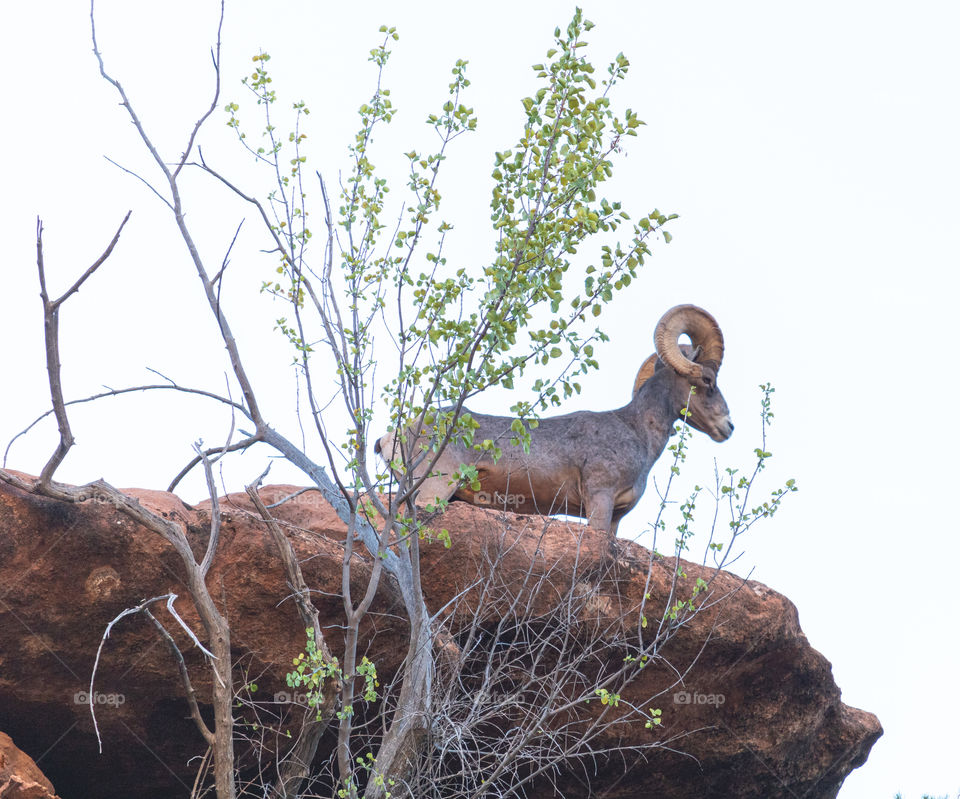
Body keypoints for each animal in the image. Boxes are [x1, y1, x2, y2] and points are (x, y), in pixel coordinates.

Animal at [375, 304, 734, 535]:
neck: (636, 432)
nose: (728, 427)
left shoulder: (616, 517)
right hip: (434, 489)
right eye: (708, 381)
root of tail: (392, 436)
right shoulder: (599, 501)